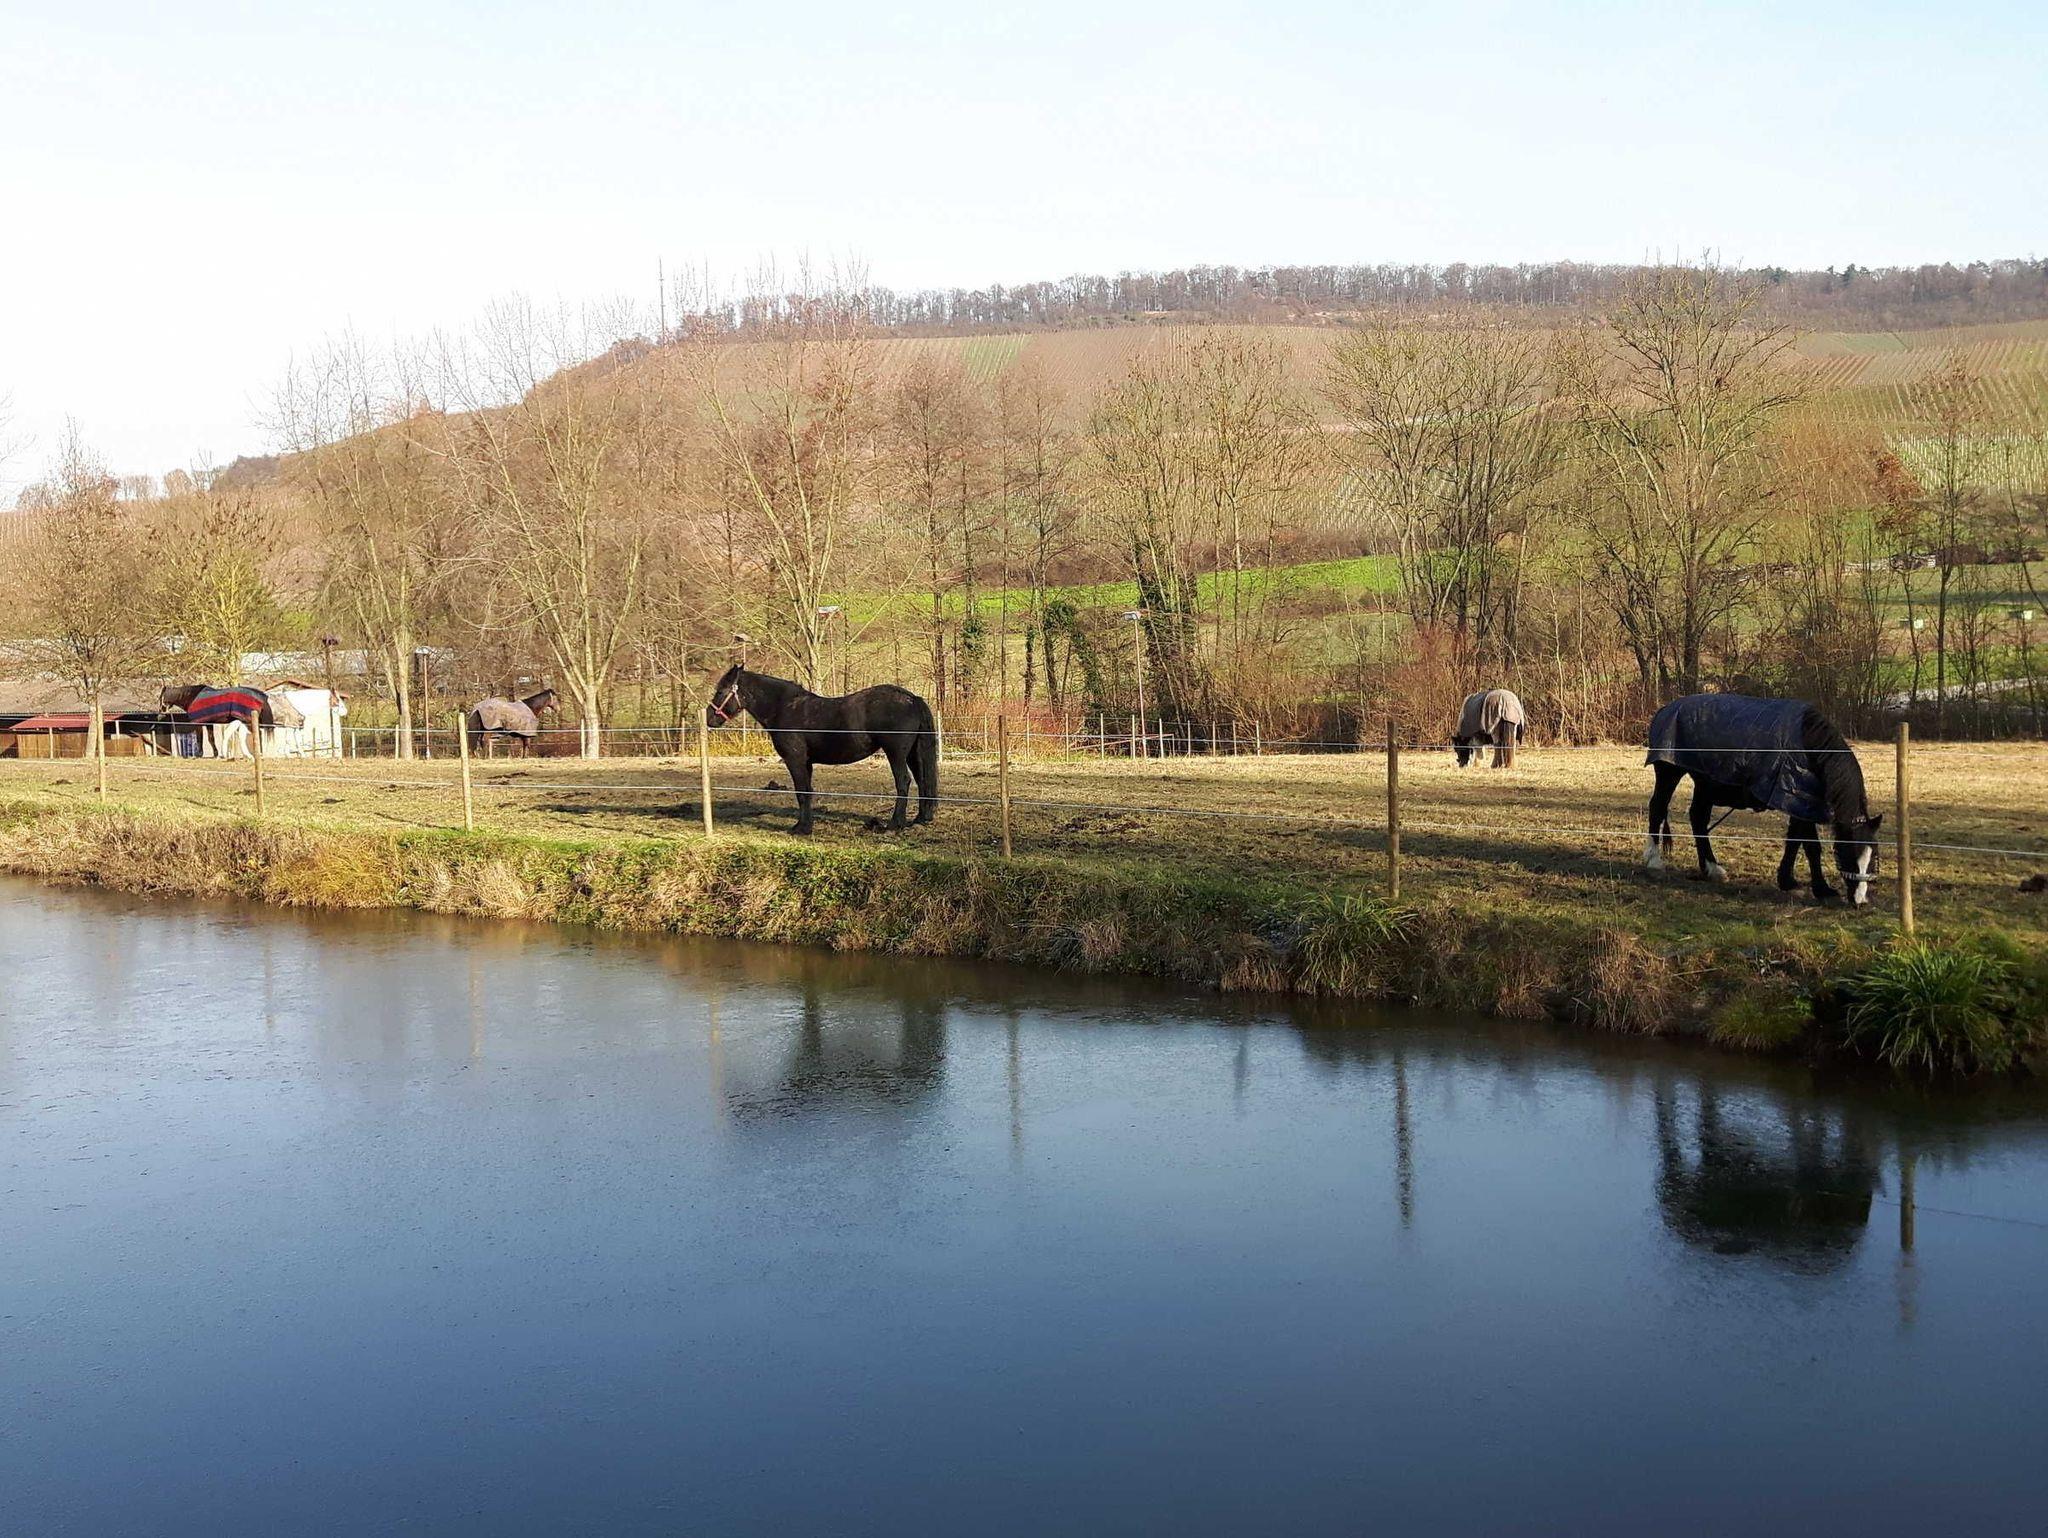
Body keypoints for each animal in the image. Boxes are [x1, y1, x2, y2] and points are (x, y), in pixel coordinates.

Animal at [705, 665, 939, 835]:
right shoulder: (806, 762)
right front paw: (804, 825)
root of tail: (912, 699)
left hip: (896, 754)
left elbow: (801, 792)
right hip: (912, 754)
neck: (784, 708)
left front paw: (802, 829)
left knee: (904, 782)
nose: (709, 718)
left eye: (721, 691)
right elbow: (807, 791)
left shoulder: (795, 760)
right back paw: (919, 819)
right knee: (922, 781)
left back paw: (894, 824)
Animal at [1643, 693, 1883, 906]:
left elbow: (1794, 841)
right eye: (1850, 855)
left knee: (1698, 818)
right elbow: (1811, 847)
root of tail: (1666, 709)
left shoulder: (1798, 802)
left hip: (1706, 783)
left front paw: (1787, 880)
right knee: (1658, 808)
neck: (1810, 746)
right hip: (1669, 773)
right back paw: (1654, 861)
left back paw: (1711, 868)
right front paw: (1822, 889)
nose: (1860, 900)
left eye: (1873, 858)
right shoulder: (1799, 802)